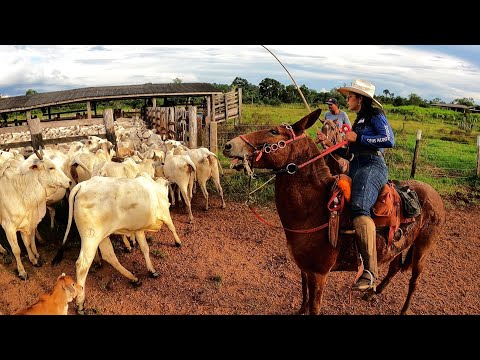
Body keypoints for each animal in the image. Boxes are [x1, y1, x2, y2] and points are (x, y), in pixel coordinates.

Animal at [51, 174, 181, 312]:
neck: (155, 189)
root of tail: (82, 185)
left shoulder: (138, 229)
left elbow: (145, 248)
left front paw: (151, 270)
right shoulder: (165, 215)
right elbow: (172, 227)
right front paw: (178, 242)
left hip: (102, 236)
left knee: (109, 256)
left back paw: (133, 278)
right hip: (91, 237)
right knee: (82, 265)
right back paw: (80, 302)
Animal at [223, 108, 444, 314]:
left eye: (274, 131)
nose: (228, 145)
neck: (313, 209)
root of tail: (433, 193)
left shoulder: (319, 274)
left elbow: (314, 305)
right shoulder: (305, 269)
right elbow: (304, 292)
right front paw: (301, 309)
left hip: (423, 249)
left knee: (414, 281)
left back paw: (402, 308)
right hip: (397, 244)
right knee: (394, 266)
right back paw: (373, 292)